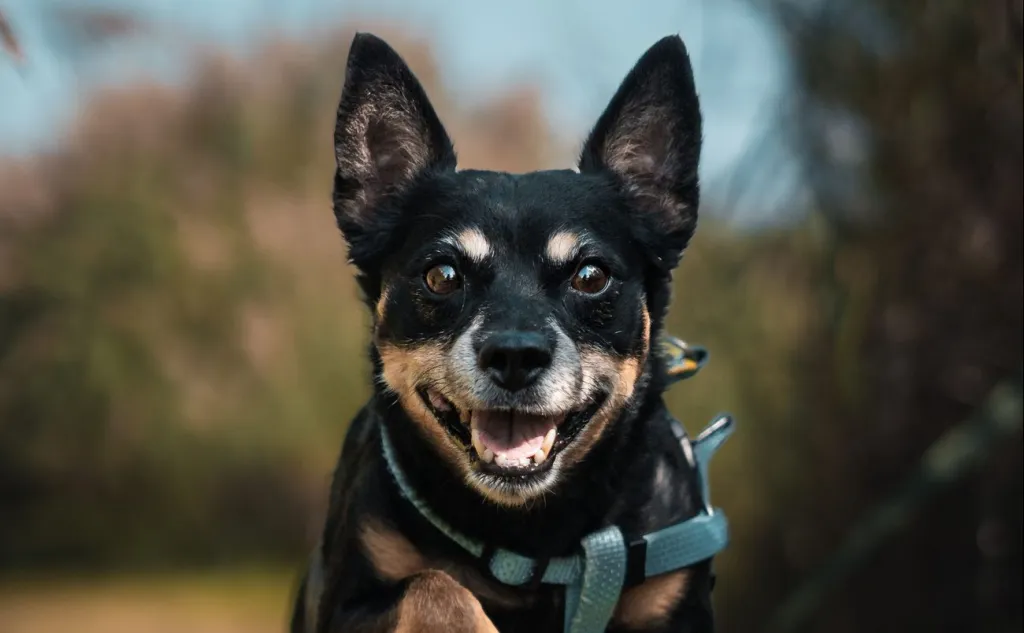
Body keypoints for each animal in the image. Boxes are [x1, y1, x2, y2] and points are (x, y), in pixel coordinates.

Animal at [288, 33, 720, 630]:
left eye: (591, 276)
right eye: (442, 275)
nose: (515, 356)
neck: (532, 540)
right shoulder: (342, 604)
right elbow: (435, 585)